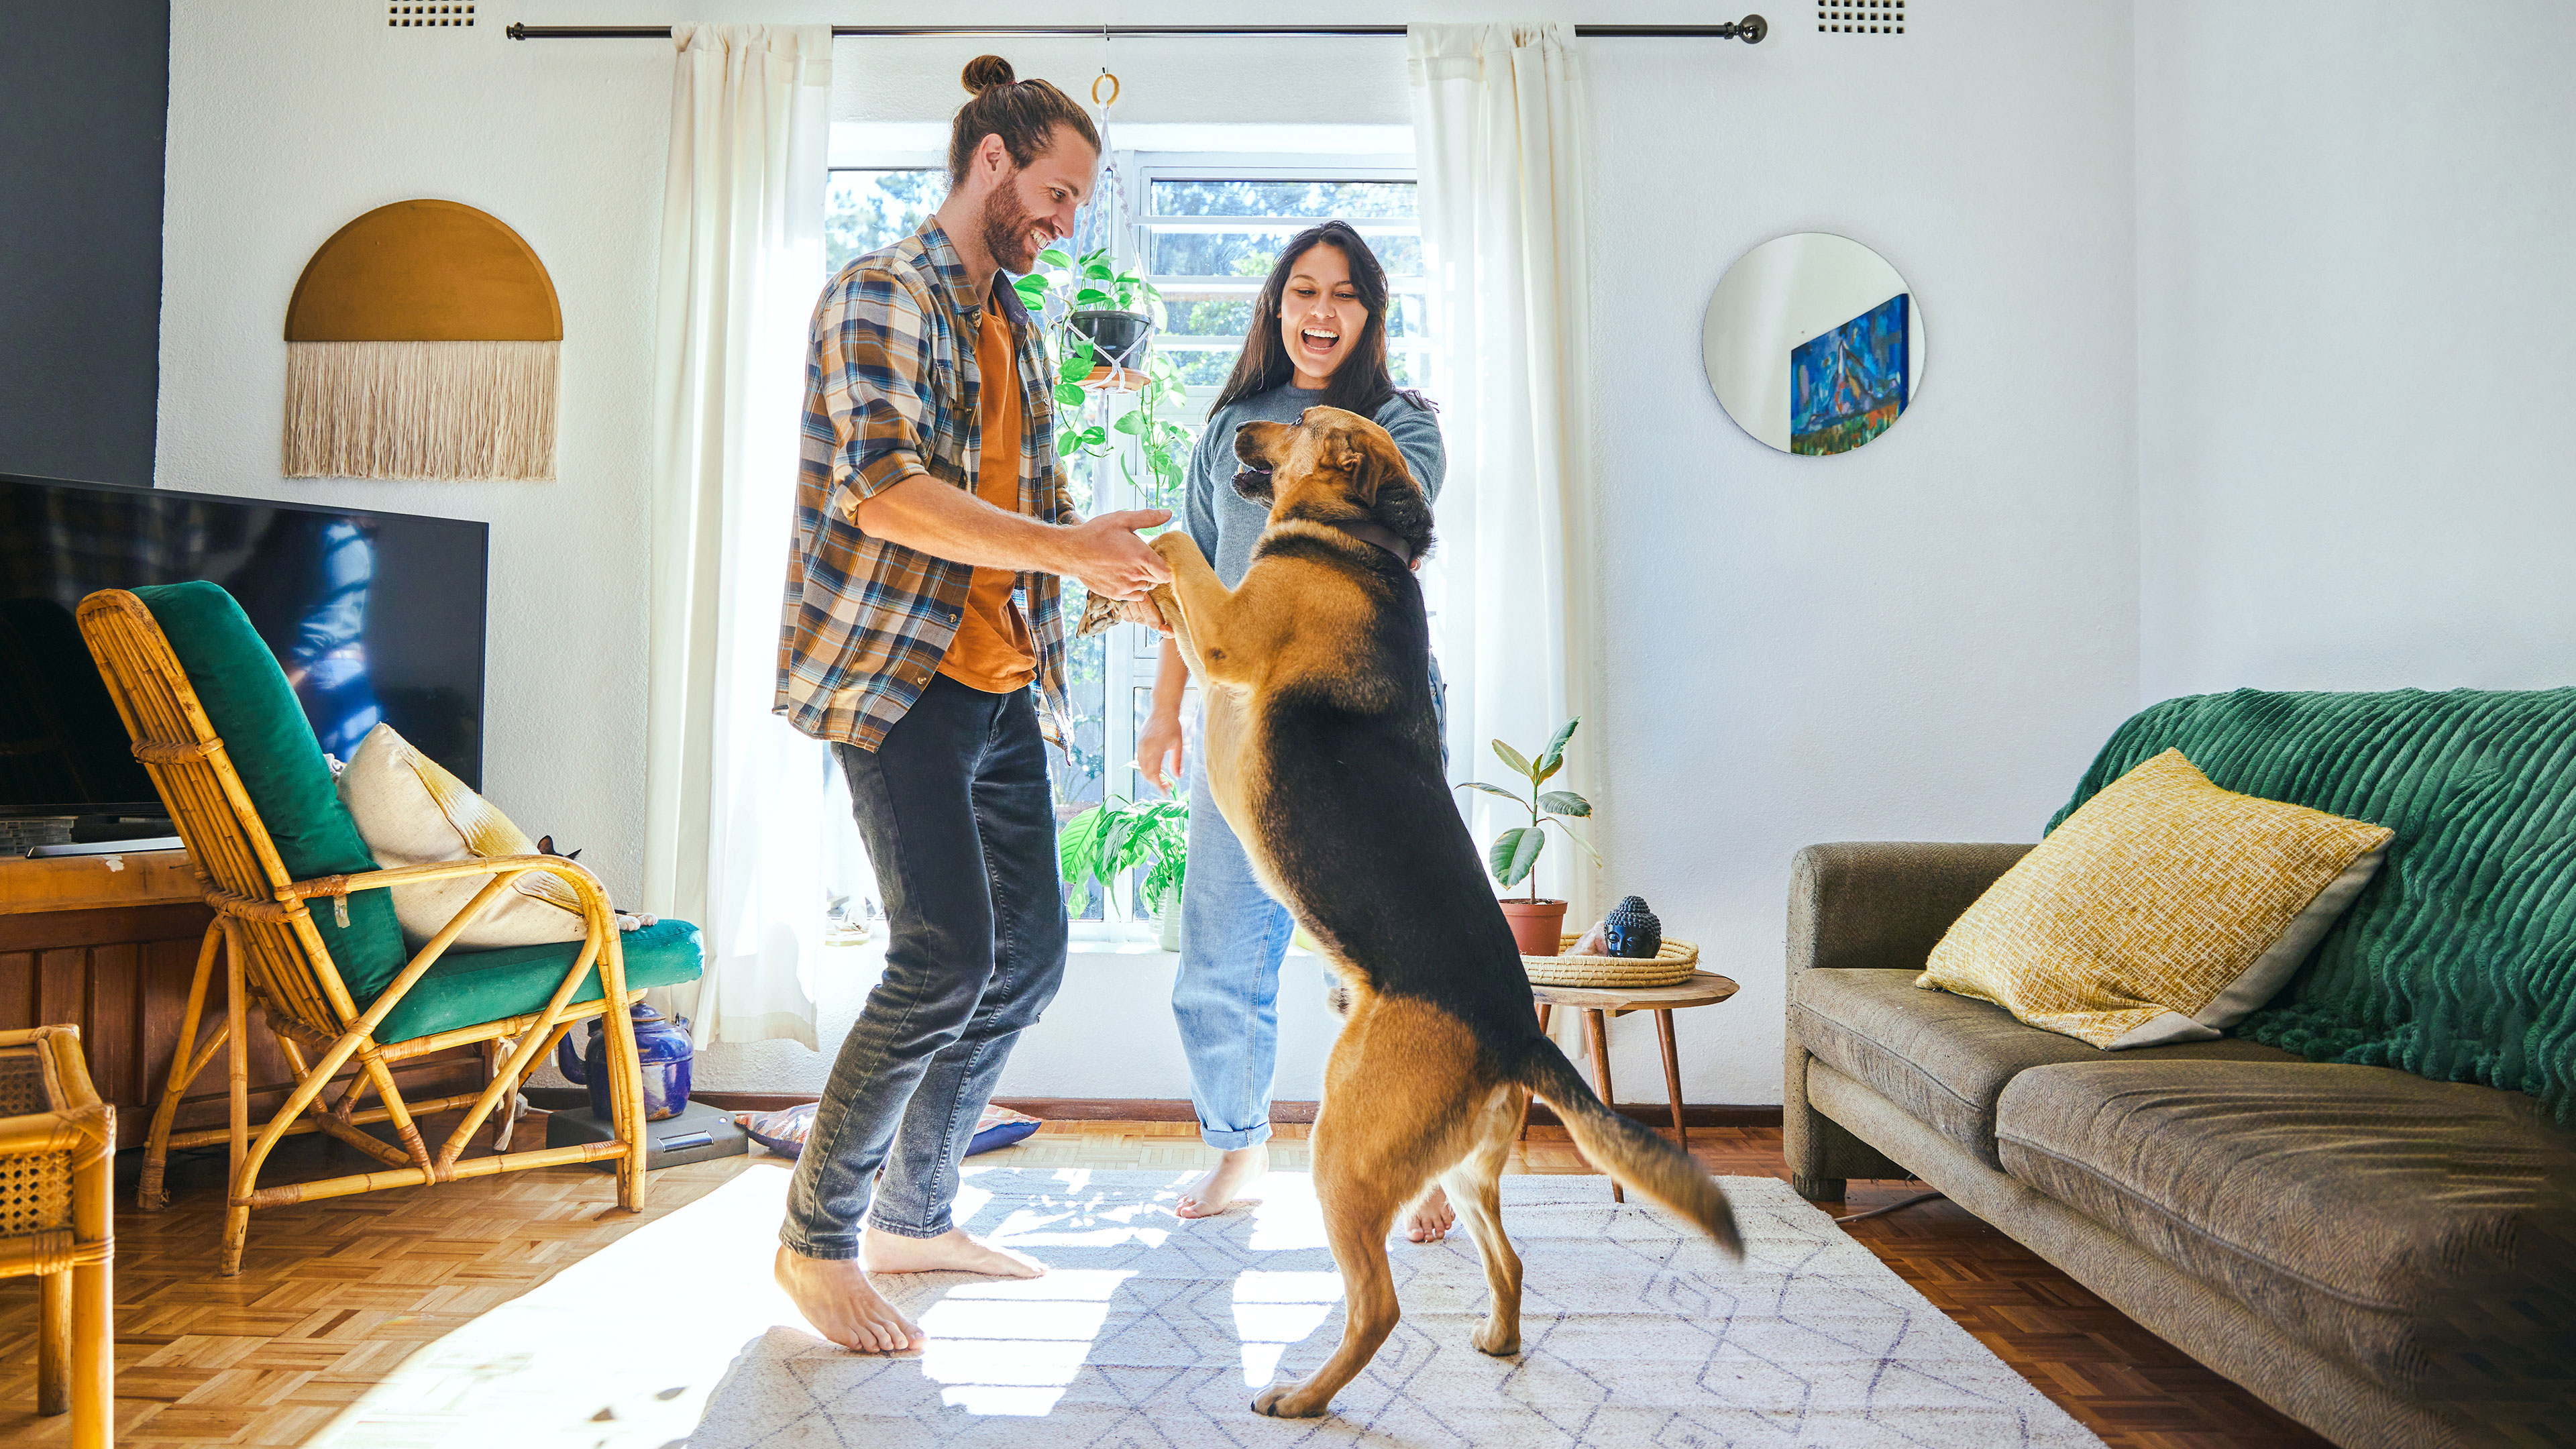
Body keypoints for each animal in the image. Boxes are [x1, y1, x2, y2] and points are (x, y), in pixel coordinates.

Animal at [1148, 402, 1752, 1413]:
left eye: (1300, 418)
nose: (1229, 430)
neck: (1361, 540)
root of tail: (1517, 1032)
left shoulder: (1228, 631)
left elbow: (1176, 553)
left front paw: (1137, 526)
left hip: (1344, 1153)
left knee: (1379, 1308)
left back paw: (1303, 1399)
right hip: (1468, 1173)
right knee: (1509, 1262)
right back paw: (1498, 1342)